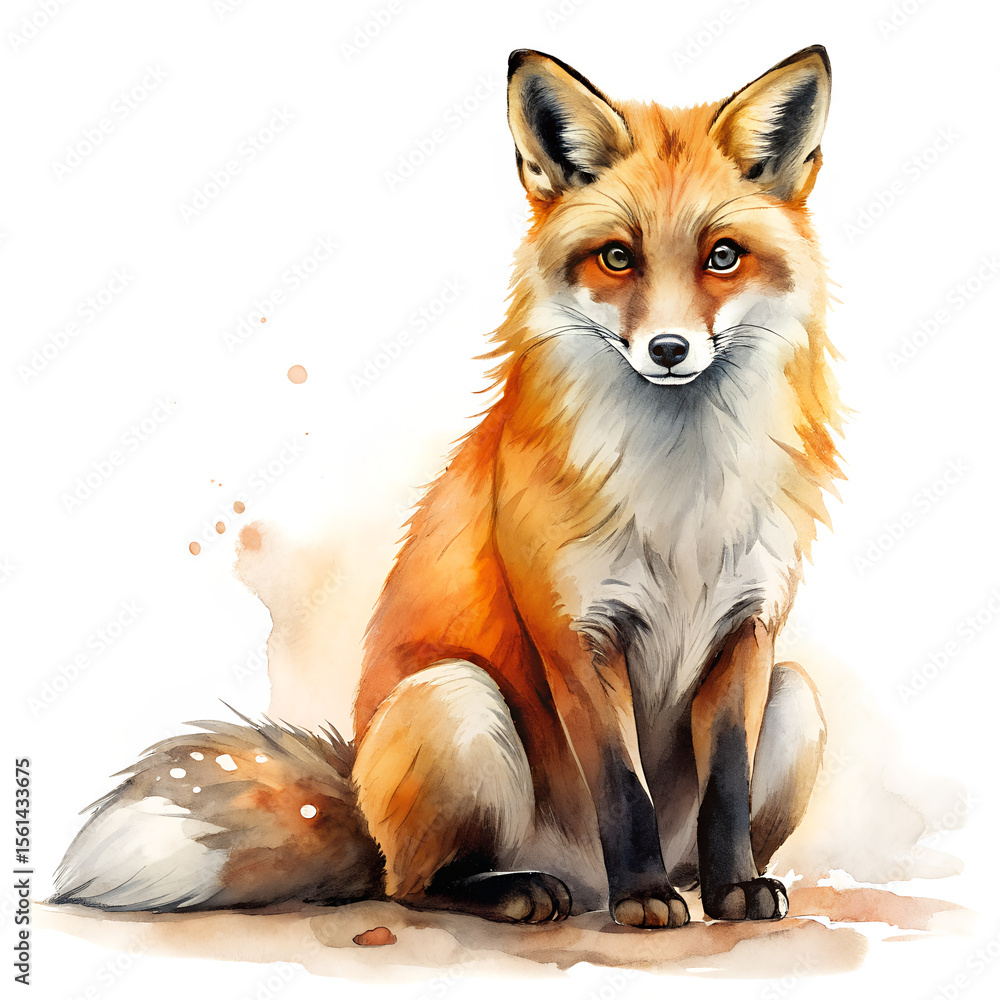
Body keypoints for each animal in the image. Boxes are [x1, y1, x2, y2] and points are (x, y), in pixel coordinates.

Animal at [53, 45, 841, 929]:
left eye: (723, 256)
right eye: (617, 257)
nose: (668, 350)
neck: (681, 499)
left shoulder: (750, 628)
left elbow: (727, 789)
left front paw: (736, 886)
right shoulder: (574, 633)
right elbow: (621, 789)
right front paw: (641, 899)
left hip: (796, 698)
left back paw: (697, 885)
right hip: (456, 698)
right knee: (416, 886)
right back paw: (537, 891)